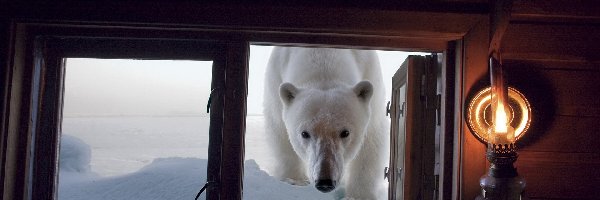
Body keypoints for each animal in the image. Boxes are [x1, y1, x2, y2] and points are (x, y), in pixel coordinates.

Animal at [262, 46, 390, 198]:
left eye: (345, 132)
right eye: (304, 133)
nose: (325, 182)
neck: (324, 55)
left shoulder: (370, 73)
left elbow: (371, 139)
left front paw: (358, 195)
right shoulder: (275, 78)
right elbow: (280, 130)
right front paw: (295, 180)